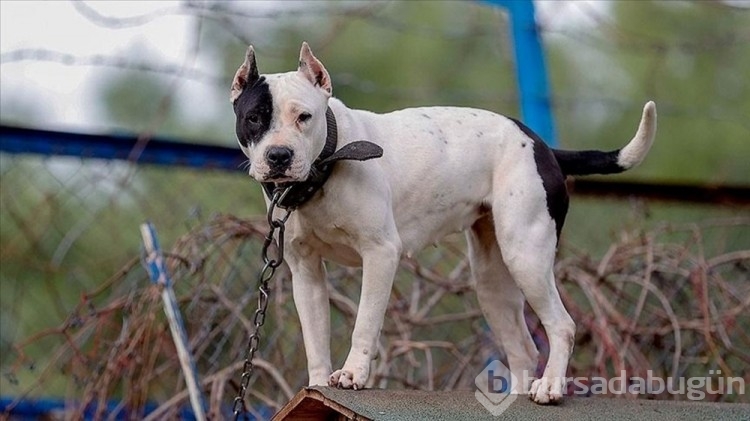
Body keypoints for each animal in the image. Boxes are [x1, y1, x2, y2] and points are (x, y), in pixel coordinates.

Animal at [231, 42, 656, 404]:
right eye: (254, 118)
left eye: (304, 117)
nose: (279, 156)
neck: (327, 164)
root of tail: (541, 146)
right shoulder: (306, 272)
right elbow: (315, 337)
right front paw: (317, 387)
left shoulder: (381, 254)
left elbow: (364, 322)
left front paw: (352, 375)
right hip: (492, 280)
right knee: (522, 348)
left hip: (527, 256)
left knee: (562, 325)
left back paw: (549, 387)